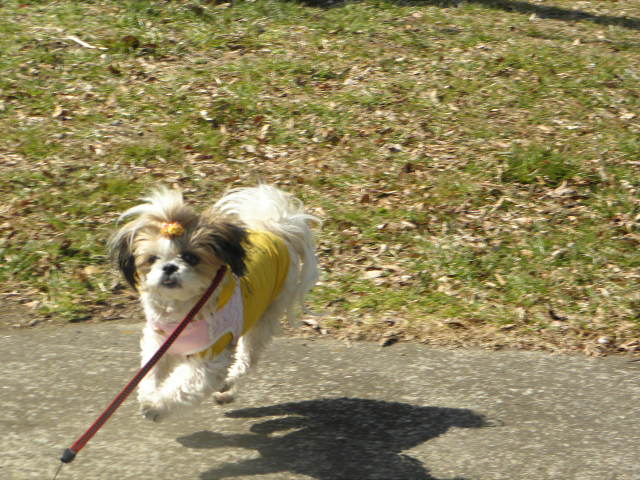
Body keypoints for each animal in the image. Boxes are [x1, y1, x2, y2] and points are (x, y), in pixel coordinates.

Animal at [109, 185, 320, 422]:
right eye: (152, 259)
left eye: (191, 258)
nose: (169, 267)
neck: (184, 313)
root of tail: (275, 228)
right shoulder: (159, 344)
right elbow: (151, 374)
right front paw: (149, 395)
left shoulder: (210, 356)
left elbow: (184, 385)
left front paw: (155, 406)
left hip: (264, 315)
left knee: (246, 359)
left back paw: (228, 384)